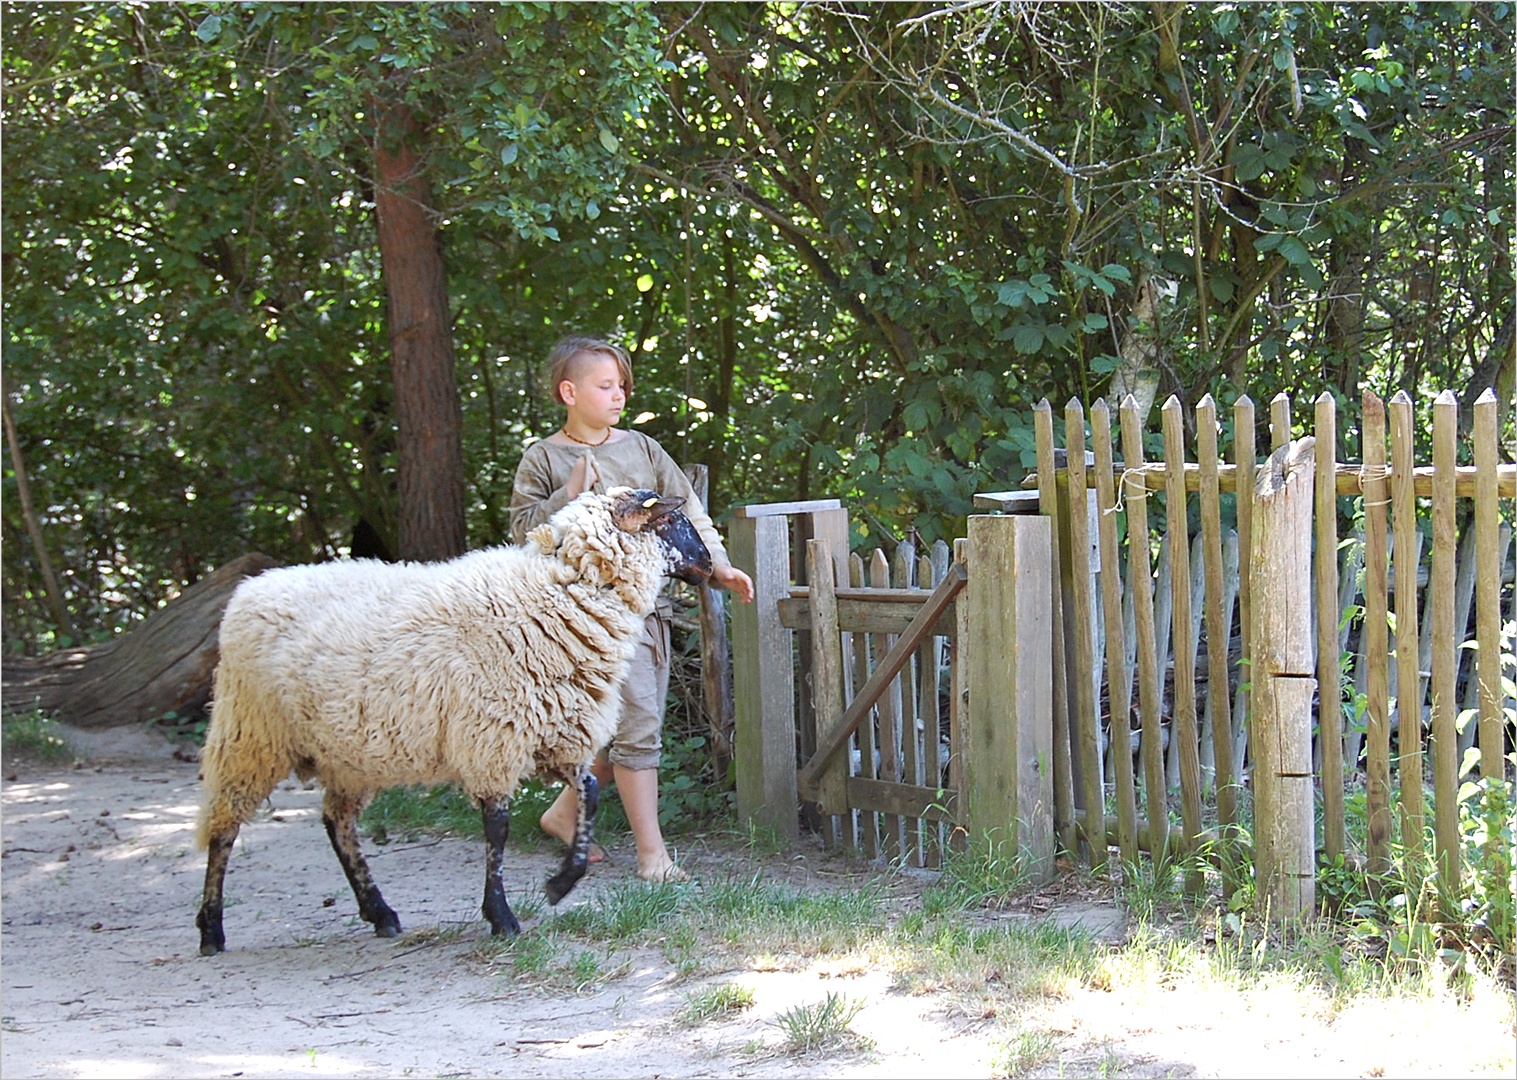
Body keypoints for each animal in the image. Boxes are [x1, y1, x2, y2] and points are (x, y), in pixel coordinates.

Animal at [194, 488, 709, 952]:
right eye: (669, 520)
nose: (706, 561)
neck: (559, 591)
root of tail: (249, 588)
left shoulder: (556, 733)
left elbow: (592, 795)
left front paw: (560, 884)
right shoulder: (494, 738)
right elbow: (497, 829)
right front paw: (501, 917)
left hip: (343, 751)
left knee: (337, 824)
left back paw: (379, 912)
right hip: (249, 733)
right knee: (224, 828)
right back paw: (211, 929)